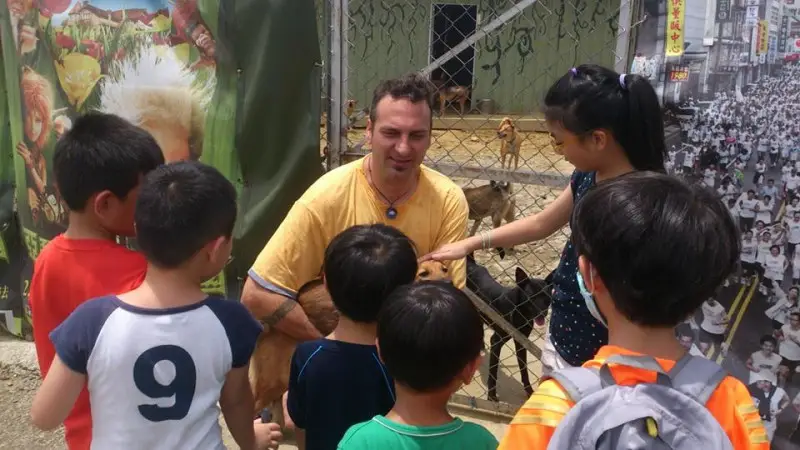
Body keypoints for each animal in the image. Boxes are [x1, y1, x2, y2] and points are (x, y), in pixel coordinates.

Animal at [466, 253, 552, 400]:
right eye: (531, 297)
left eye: (547, 297)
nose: (543, 313)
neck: (518, 311)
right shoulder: (496, 341)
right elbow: (493, 373)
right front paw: (491, 397)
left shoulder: (522, 342)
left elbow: (524, 369)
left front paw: (529, 391)